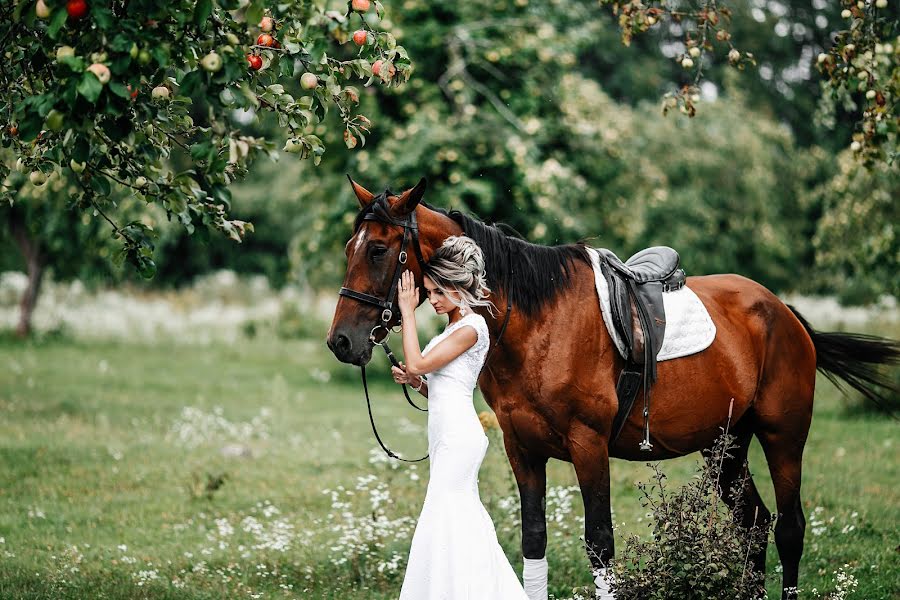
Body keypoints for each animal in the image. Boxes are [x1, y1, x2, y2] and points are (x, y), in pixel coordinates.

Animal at [328, 178, 900, 600]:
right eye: (350, 247)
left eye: (378, 250)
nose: (341, 341)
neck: (535, 321)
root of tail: (783, 312)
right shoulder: (521, 448)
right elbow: (533, 540)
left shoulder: (589, 445)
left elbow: (600, 543)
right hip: (727, 444)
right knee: (754, 526)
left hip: (783, 436)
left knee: (788, 528)